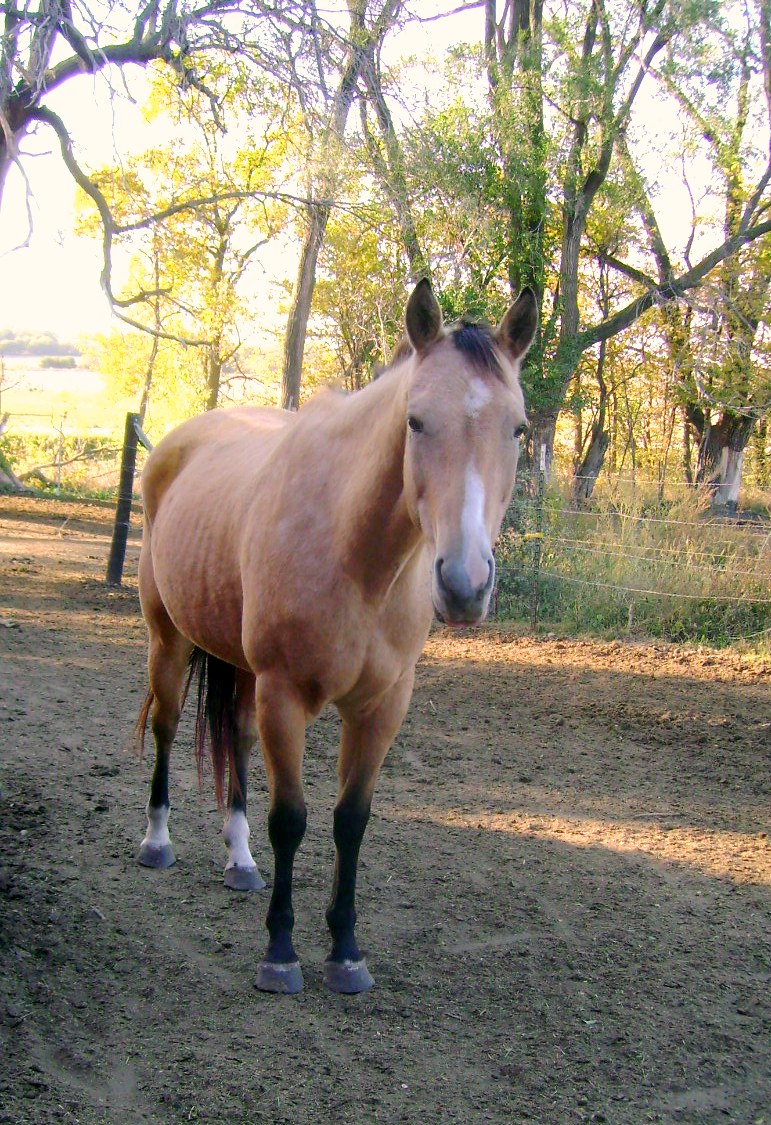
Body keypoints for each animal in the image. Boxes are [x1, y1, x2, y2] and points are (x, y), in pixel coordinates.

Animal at [135, 279, 538, 994]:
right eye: (415, 421)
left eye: (517, 428)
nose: (464, 585)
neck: (355, 557)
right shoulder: (286, 695)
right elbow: (290, 819)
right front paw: (281, 953)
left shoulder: (381, 706)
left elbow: (351, 820)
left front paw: (346, 952)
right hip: (170, 640)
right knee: (167, 724)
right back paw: (157, 842)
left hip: (243, 672)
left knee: (236, 739)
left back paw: (240, 860)